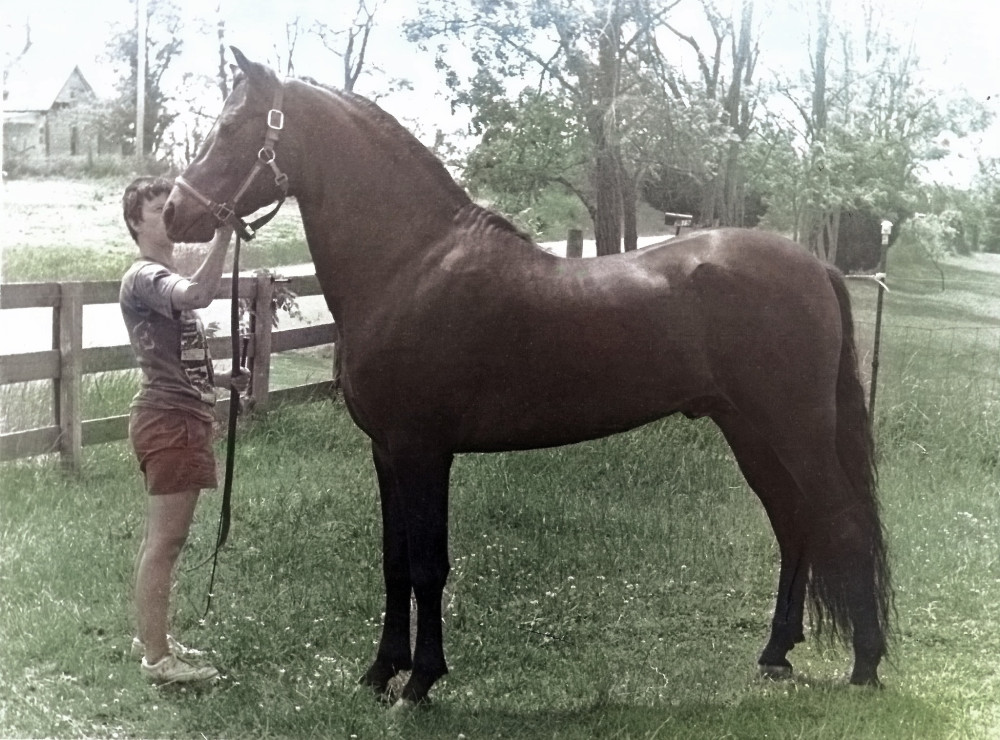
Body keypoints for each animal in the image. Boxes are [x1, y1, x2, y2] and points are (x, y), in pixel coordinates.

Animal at [164, 48, 892, 707]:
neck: (410, 265)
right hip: (750, 432)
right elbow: (394, 563)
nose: (172, 211)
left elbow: (427, 565)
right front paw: (379, 672)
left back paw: (866, 666)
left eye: (231, 126)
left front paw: (420, 682)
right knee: (795, 522)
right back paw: (776, 654)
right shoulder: (386, 452)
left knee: (843, 521)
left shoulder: (423, 450)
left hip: (794, 431)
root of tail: (817, 267)